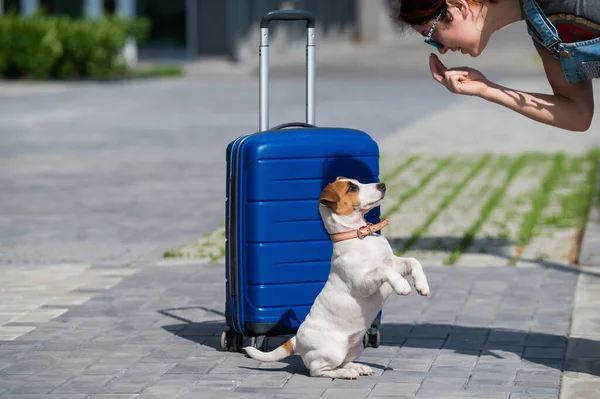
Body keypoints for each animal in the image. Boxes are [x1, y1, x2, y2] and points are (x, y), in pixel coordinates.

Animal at [244, 177, 432, 380]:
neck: (359, 236)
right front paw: (402, 286)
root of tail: (296, 339)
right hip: (332, 351)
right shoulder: (363, 283)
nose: (382, 185)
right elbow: (382, 270)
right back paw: (346, 373)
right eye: (352, 188)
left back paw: (358, 367)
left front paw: (422, 286)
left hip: (355, 347)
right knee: (318, 370)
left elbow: (413, 261)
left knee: (344, 361)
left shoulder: (395, 263)